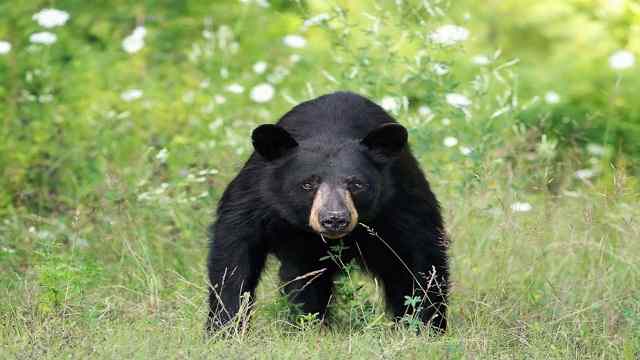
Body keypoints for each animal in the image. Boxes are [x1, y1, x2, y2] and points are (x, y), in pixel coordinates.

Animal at [208, 91, 448, 334]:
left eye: (357, 184)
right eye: (307, 184)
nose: (334, 219)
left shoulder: (399, 201)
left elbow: (419, 259)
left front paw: (425, 326)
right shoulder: (258, 198)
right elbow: (235, 256)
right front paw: (224, 328)